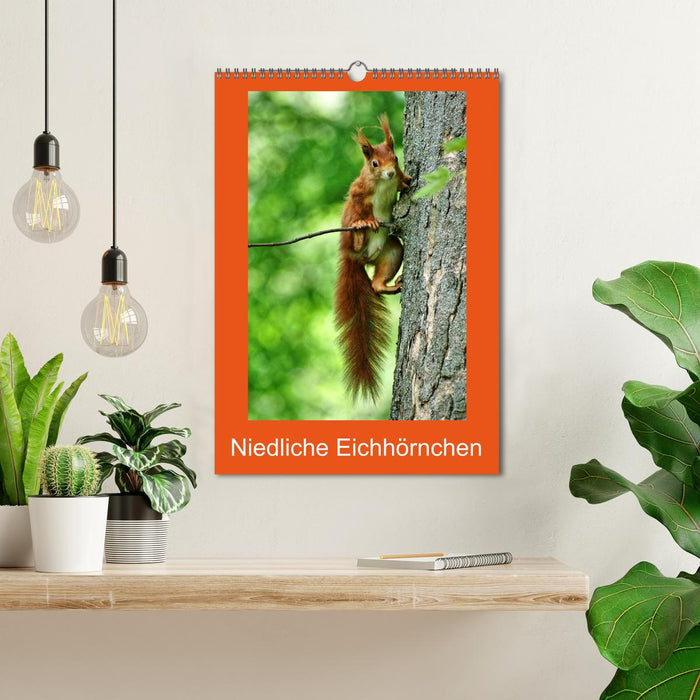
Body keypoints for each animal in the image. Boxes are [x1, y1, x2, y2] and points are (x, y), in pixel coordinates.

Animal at [334, 115, 411, 402]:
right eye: (374, 164)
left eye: (396, 158)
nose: (390, 172)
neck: (384, 183)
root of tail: (356, 260)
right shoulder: (358, 191)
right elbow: (358, 203)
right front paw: (365, 220)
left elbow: (403, 181)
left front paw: (407, 179)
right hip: (351, 240)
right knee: (354, 237)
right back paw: (358, 233)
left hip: (392, 252)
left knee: (377, 284)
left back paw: (391, 285)